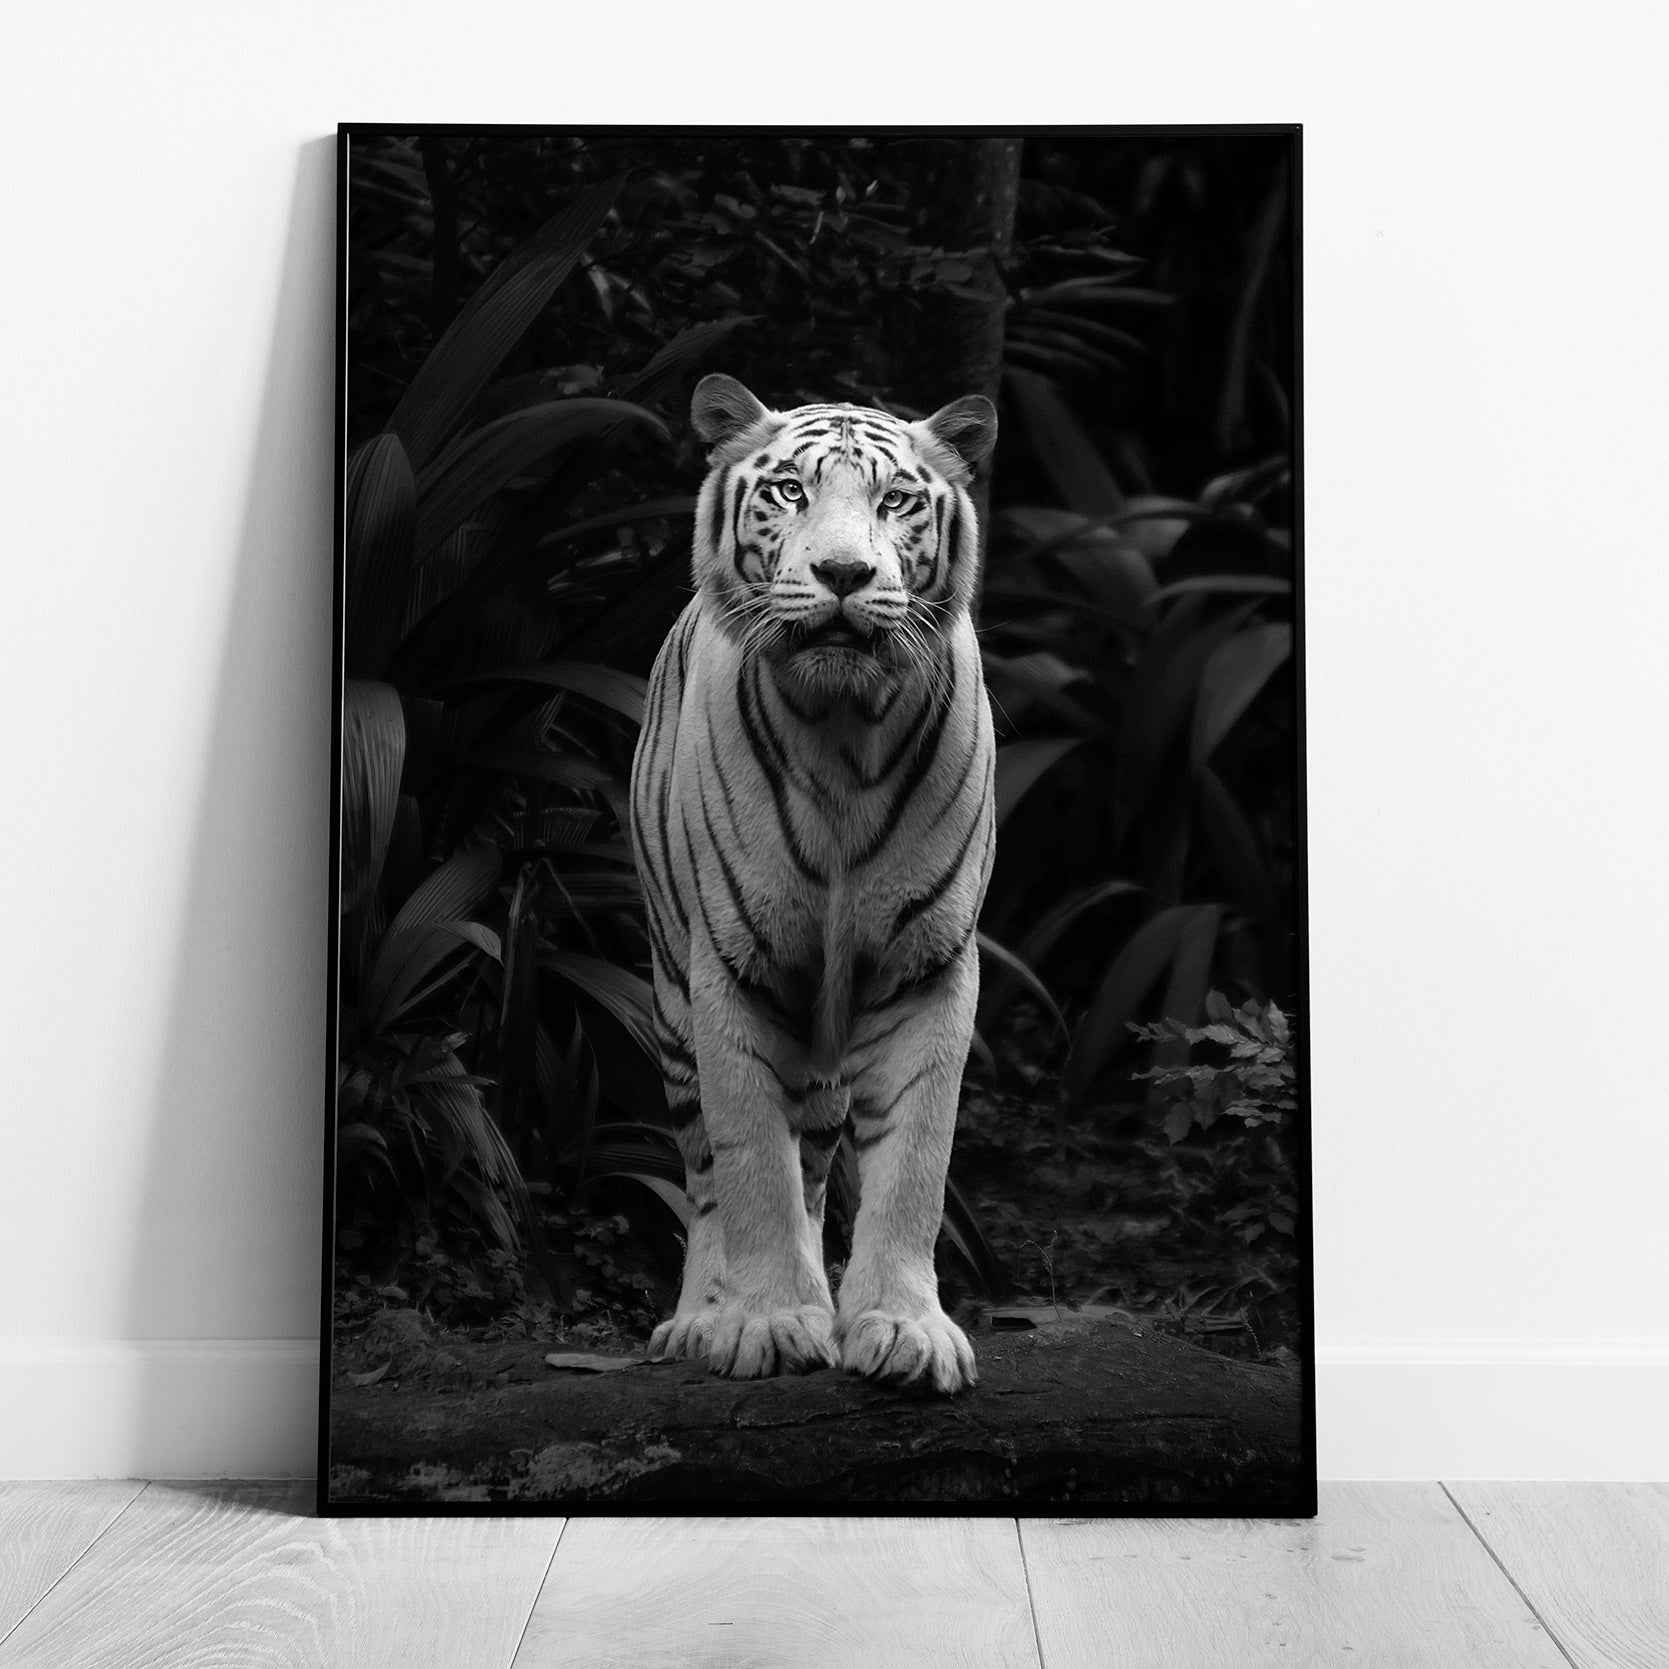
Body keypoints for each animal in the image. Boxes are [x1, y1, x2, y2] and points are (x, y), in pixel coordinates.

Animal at [627, 373, 998, 1395]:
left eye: (896, 500)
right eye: (789, 491)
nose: (841, 574)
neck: (842, 727)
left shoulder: (927, 968)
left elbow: (914, 1163)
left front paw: (902, 1327)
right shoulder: (730, 969)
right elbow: (752, 1163)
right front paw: (765, 1321)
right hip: (670, 998)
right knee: (707, 1174)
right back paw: (700, 1317)